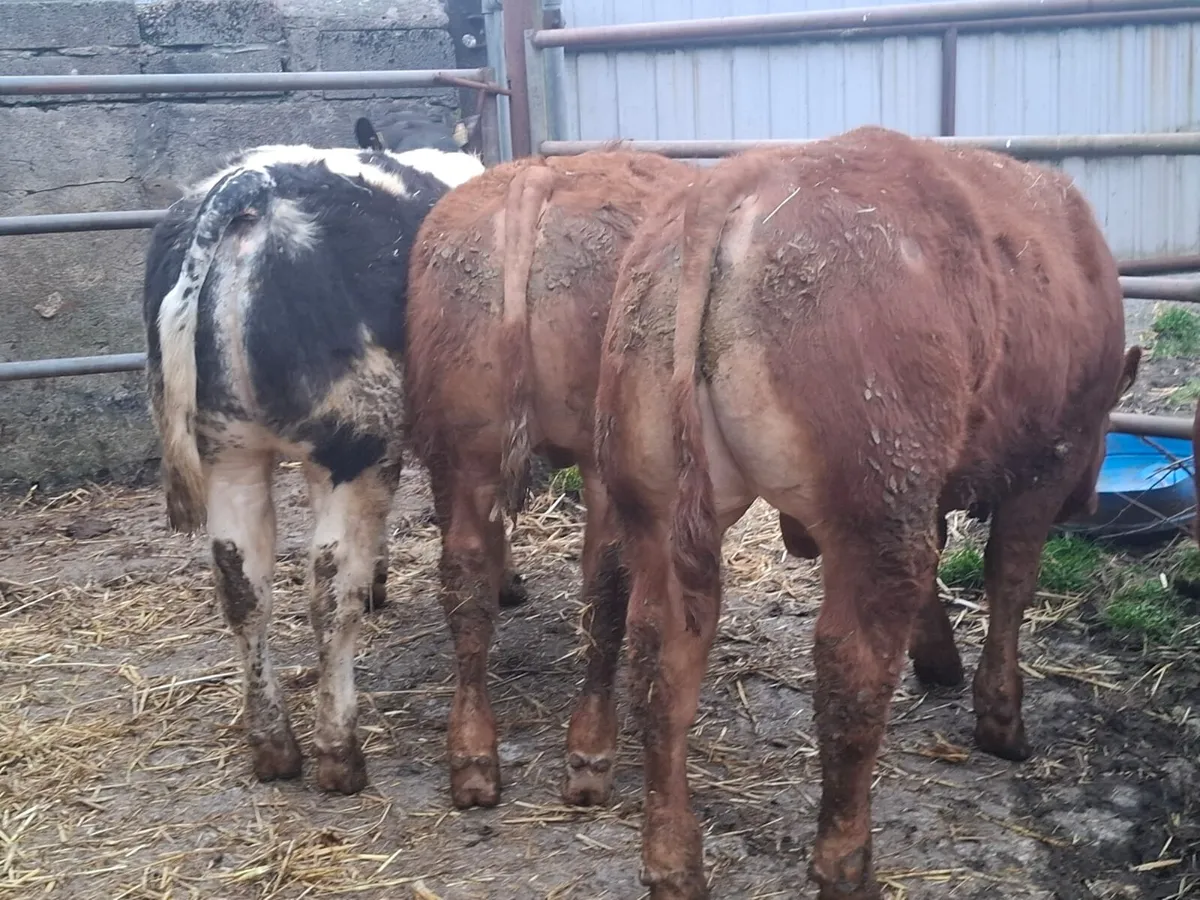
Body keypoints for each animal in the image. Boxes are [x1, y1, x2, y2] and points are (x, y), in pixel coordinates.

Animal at [142, 134, 485, 795]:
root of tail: (253, 188)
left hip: (230, 452)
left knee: (241, 583)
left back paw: (274, 746)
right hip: (355, 449)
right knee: (329, 589)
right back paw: (338, 751)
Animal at [403, 149, 693, 809]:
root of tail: (538, 177)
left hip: (464, 452)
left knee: (465, 582)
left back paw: (473, 757)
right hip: (603, 457)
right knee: (607, 582)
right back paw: (590, 751)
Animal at [593, 125, 1140, 900]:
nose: (1089, 499)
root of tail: (734, 183)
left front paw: (939, 662)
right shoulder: (1043, 467)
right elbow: (1009, 583)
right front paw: (1002, 721)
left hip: (658, 511)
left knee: (659, 659)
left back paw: (673, 862)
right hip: (874, 511)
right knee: (849, 669)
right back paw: (846, 864)